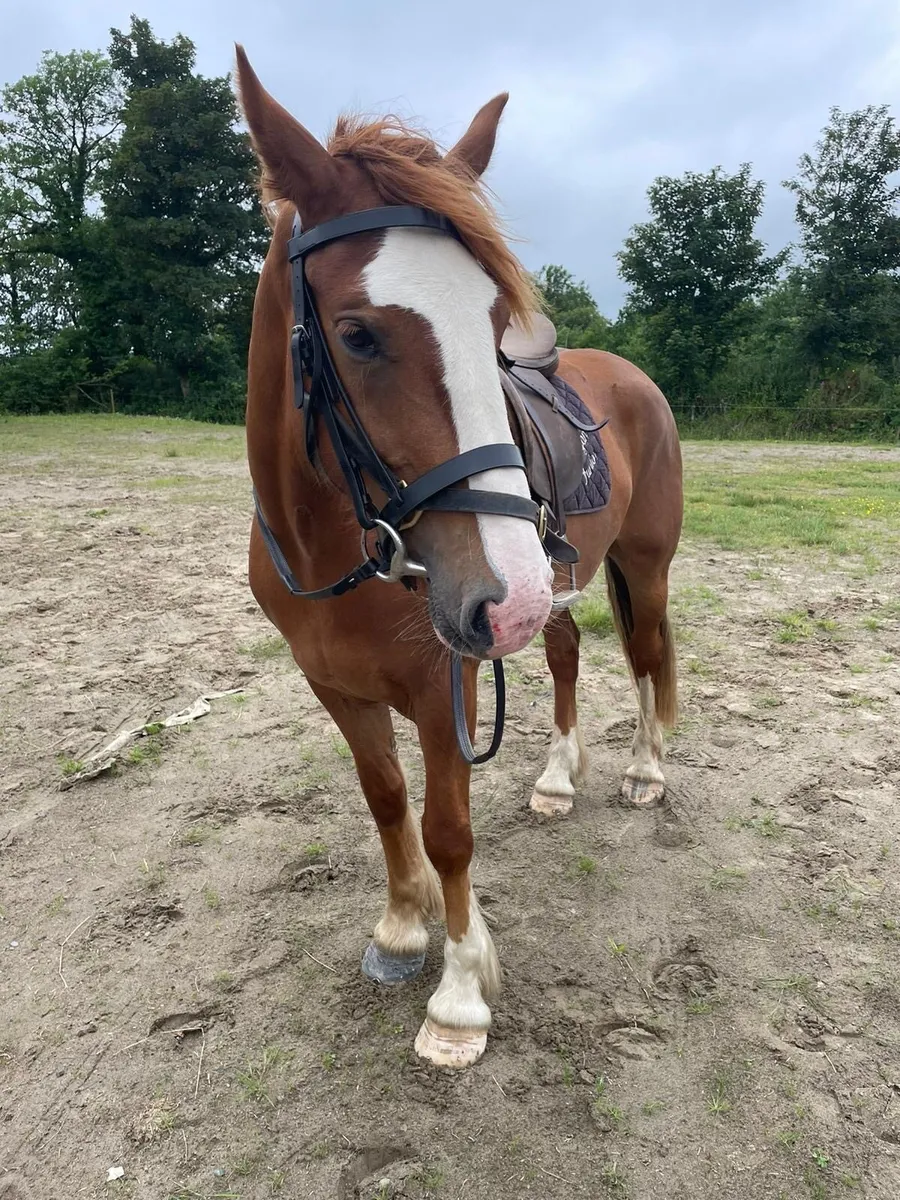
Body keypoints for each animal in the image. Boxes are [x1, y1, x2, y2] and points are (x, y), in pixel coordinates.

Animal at [234, 46, 683, 1069]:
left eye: (491, 325)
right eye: (357, 333)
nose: (499, 597)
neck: (338, 548)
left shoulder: (447, 686)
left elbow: (447, 829)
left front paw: (460, 992)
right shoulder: (337, 686)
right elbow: (386, 798)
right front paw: (404, 931)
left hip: (637, 568)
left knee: (648, 657)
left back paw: (645, 772)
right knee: (567, 653)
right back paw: (557, 780)